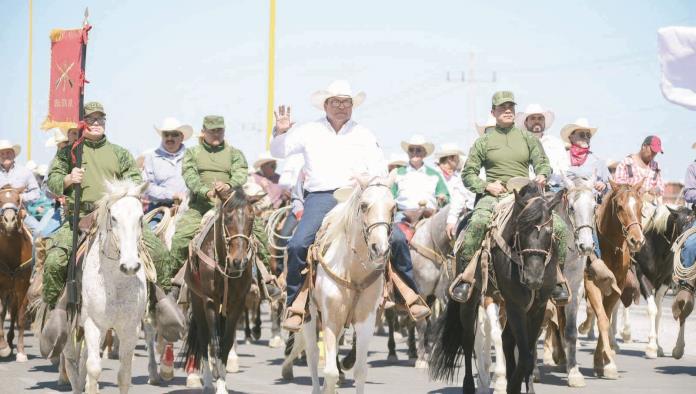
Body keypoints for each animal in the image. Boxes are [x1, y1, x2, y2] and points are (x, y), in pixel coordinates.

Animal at [181, 187, 260, 390]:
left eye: (252, 218)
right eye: (228, 217)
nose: (238, 261)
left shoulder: (238, 303)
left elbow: (226, 342)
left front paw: (222, 383)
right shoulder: (209, 301)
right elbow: (214, 343)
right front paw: (216, 379)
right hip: (197, 301)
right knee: (203, 338)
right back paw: (208, 381)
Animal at [430, 185, 564, 394]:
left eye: (549, 232)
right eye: (521, 229)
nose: (534, 278)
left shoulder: (537, 308)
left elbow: (528, 351)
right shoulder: (515, 305)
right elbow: (524, 355)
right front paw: (512, 385)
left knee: (506, 339)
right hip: (472, 300)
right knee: (468, 340)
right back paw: (469, 385)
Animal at [584, 181, 644, 378]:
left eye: (641, 206)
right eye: (619, 206)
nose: (637, 240)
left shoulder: (616, 289)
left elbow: (607, 317)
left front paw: (602, 362)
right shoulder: (591, 284)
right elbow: (602, 319)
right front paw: (608, 359)